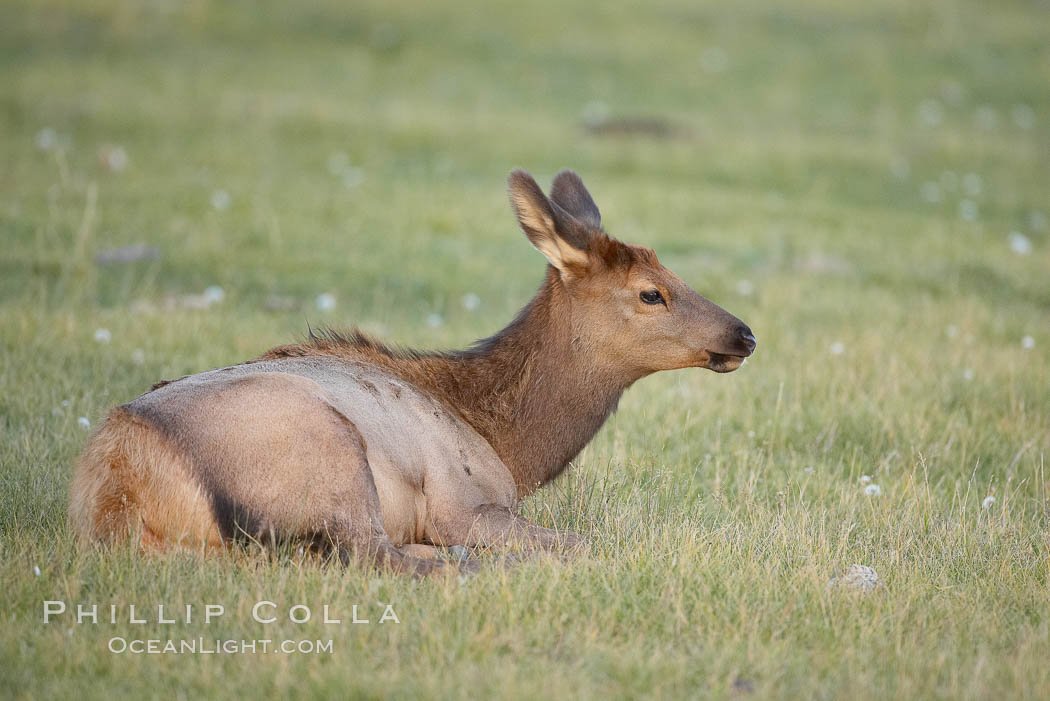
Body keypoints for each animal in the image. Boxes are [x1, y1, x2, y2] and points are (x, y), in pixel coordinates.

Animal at [69, 167, 755, 575]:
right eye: (651, 293)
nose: (743, 334)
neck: (511, 445)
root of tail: (123, 493)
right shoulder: (462, 498)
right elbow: (585, 541)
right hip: (325, 451)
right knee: (383, 556)